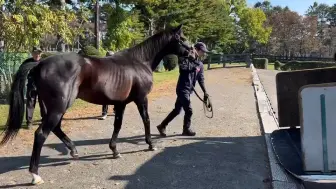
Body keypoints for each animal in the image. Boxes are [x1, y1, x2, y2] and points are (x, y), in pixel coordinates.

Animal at [0, 24, 189, 185]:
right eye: (182, 38)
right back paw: (35, 175)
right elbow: (146, 120)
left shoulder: (120, 103)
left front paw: (115, 150)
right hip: (59, 107)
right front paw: (150, 144)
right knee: (41, 134)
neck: (140, 62)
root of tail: (39, 63)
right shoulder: (141, 98)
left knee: (56, 128)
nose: (192, 53)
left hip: (50, 107)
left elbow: (118, 124)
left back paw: (74, 151)